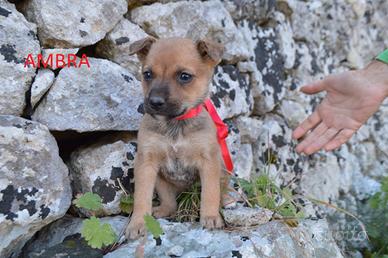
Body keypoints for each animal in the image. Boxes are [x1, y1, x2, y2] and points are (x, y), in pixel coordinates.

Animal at [124, 36, 229, 240]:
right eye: (147, 74)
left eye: (184, 76)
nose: (155, 102)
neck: (175, 124)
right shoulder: (146, 162)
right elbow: (141, 197)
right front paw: (138, 223)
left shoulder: (209, 161)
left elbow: (210, 193)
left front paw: (210, 217)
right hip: (160, 180)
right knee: (170, 203)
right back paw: (162, 210)